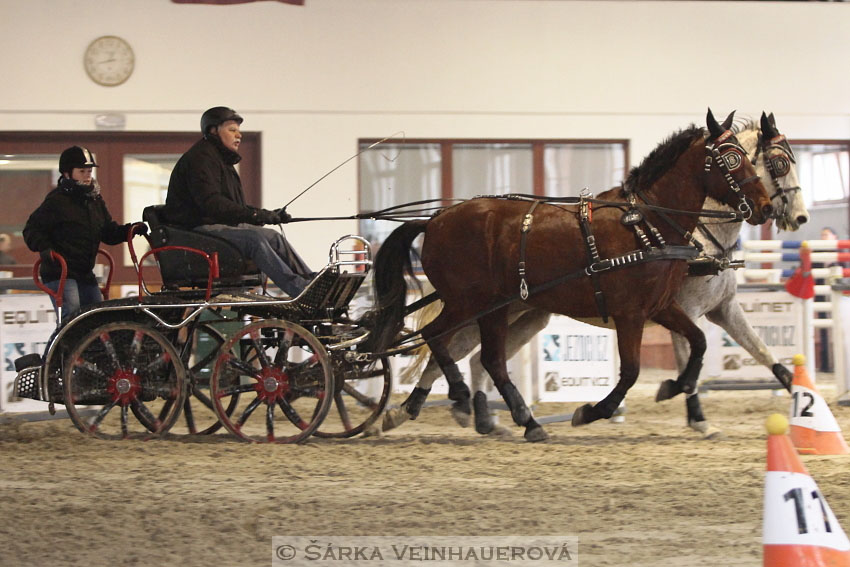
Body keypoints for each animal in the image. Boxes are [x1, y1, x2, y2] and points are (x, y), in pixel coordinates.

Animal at [380, 112, 808, 440]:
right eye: (733, 160)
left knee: (480, 358)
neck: (649, 223)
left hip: (506, 310)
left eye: (751, 158)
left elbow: (717, 348)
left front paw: (677, 388)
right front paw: (596, 410)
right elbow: (635, 370)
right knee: (442, 341)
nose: (771, 210)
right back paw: (450, 402)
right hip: (471, 303)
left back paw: (490, 415)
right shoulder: (634, 313)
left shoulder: (671, 307)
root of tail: (435, 219)